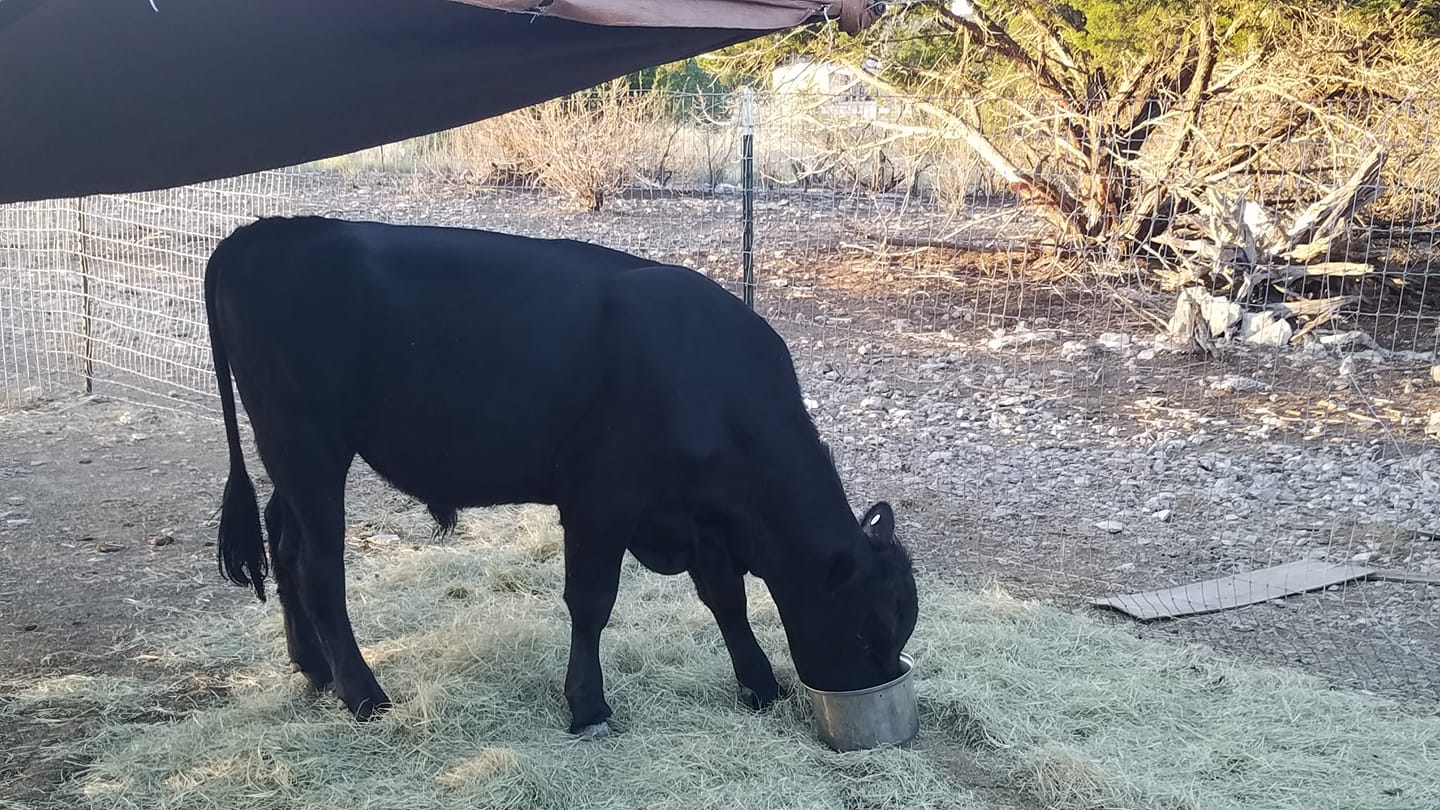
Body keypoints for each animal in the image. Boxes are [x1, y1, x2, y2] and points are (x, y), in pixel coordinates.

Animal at [204, 215, 919, 738]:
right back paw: (362, 693)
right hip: (307, 443)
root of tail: (258, 233)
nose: (872, 695)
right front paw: (588, 707)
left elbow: (725, 598)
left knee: (283, 542)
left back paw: (314, 668)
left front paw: (758, 683)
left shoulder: (694, 517)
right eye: (867, 630)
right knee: (319, 565)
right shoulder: (600, 500)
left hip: (291, 458)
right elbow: (592, 602)